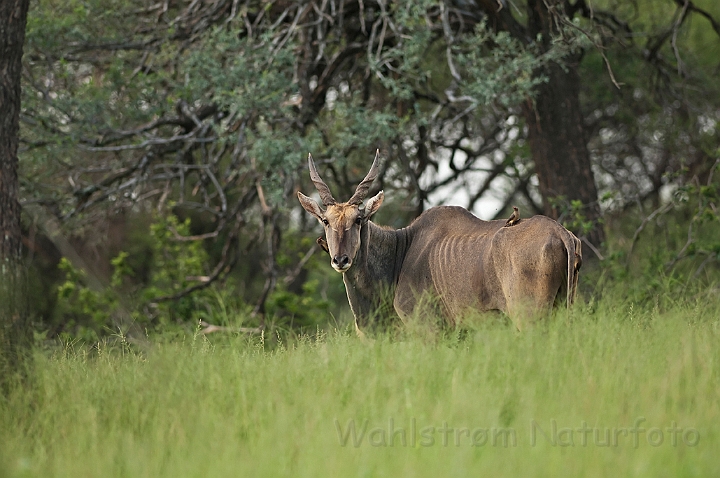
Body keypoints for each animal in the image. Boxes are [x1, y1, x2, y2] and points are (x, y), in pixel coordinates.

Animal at [296, 150, 584, 332]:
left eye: (358, 219)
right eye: (325, 221)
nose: (340, 259)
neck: (401, 249)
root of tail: (561, 233)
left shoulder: (428, 330)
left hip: (530, 317)